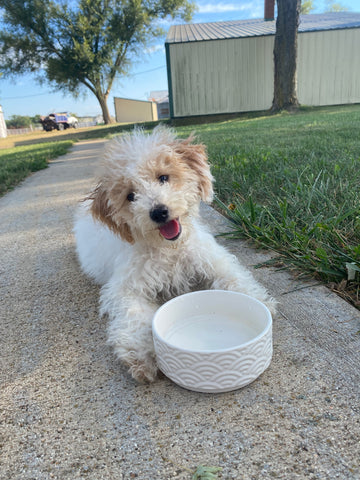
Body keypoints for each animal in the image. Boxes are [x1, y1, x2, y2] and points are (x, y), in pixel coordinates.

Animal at [74, 126, 276, 382]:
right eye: (130, 196)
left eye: (163, 177)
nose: (158, 212)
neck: (170, 250)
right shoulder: (125, 288)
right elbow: (133, 315)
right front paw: (141, 354)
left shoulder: (212, 258)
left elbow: (233, 276)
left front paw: (259, 301)